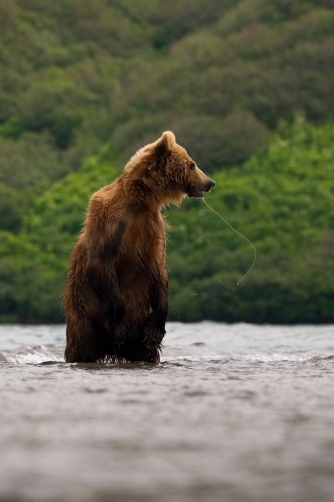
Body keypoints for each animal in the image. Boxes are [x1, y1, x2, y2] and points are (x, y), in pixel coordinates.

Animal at [63, 131, 215, 362]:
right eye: (192, 164)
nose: (210, 182)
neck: (141, 200)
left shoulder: (154, 229)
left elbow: (158, 271)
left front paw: (154, 330)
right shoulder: (113, 223)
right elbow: (103, 264)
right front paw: (117, 324)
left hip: (137, 333)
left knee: (145, 351)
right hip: (84, 313)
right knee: (82, 345)